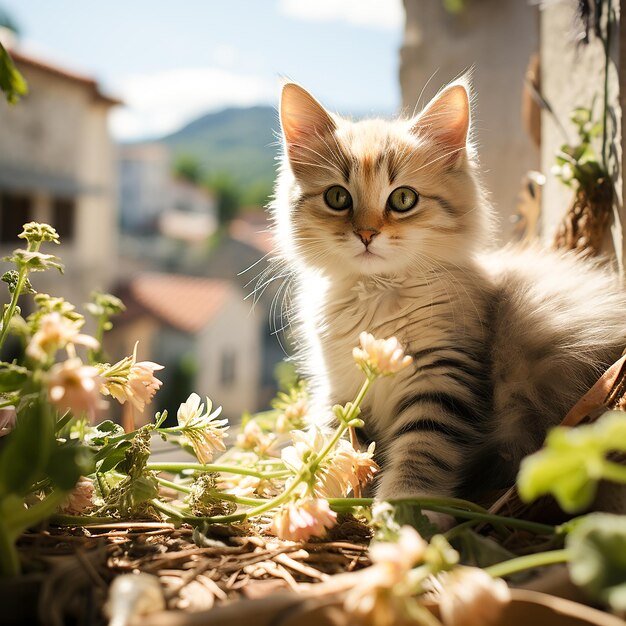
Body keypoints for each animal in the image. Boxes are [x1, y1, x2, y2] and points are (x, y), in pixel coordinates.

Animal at [268, 79, 624, 502]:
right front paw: (316, 485)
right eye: (338, 197)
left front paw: (401, 507)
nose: (367, 234)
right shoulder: (338, 389)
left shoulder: (442, 376)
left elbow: (422, 449)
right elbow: (330, 436)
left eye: (403, 199)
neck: (377, 292)